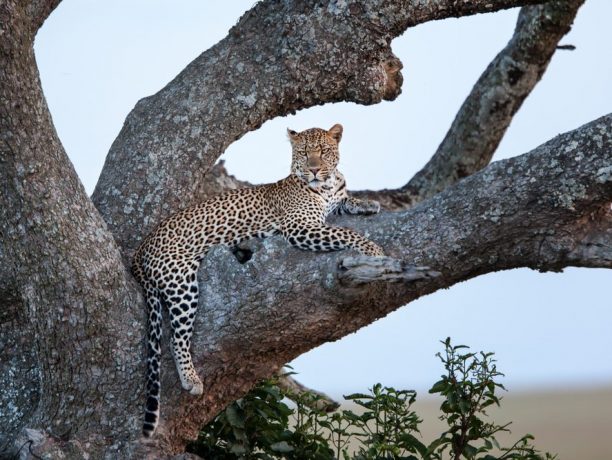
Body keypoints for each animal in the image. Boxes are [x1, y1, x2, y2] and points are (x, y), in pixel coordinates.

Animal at [131, 123, 384, 438]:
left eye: (324, 151)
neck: (324, 186)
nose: (314, 170)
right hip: (181, 283)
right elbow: (345, 233)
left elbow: (345, 200)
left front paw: (367, 203)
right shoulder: (301, 228)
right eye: (304, 153)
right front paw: (373, 249)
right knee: (176, 336)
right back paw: (191, 379)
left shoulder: (330, 202)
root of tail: (141, 249)